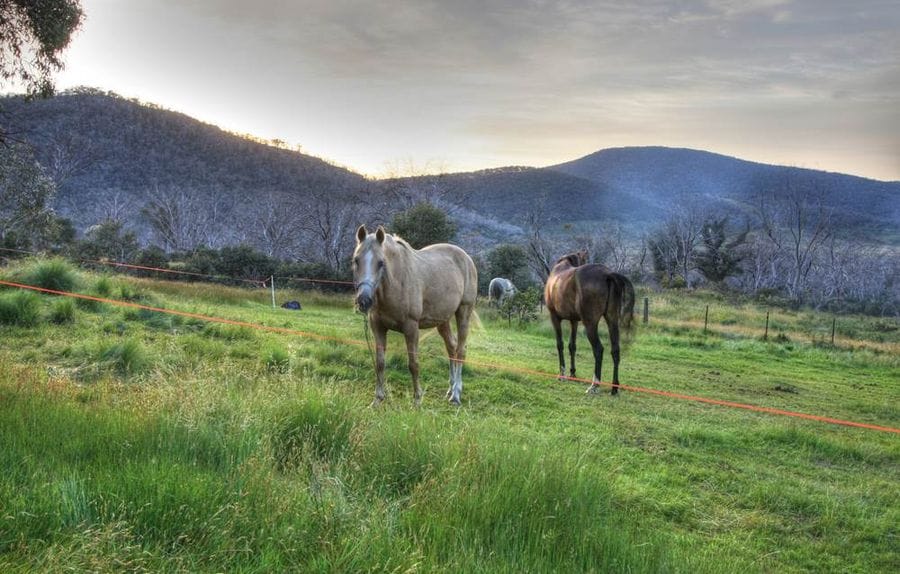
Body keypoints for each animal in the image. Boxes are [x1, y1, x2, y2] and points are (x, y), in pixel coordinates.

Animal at [352, 225, 478, 406]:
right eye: (356, 260)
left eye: (381, 262)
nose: (364, 300)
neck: (397, 282)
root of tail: (467, 258)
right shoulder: (378, 327)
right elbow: (380, 363)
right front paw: (377, 399)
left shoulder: (411, 328)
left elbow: (413, 364)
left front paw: (417, 399)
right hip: (443, 320)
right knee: (451, 347)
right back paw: (450, 389)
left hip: (464, 312)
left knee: (461, 351)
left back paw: (456, 395)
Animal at [544, 251, 635, 394]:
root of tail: (607, 274)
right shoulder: (574, 321)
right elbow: (572, 346)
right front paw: (572, 373)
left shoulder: (555, 318)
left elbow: (560, 344)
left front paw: (562, 374)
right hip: (612, 321)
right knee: (615, 350)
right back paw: (614, 387)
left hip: (590, 325)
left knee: (598, 350)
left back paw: (594, 385)